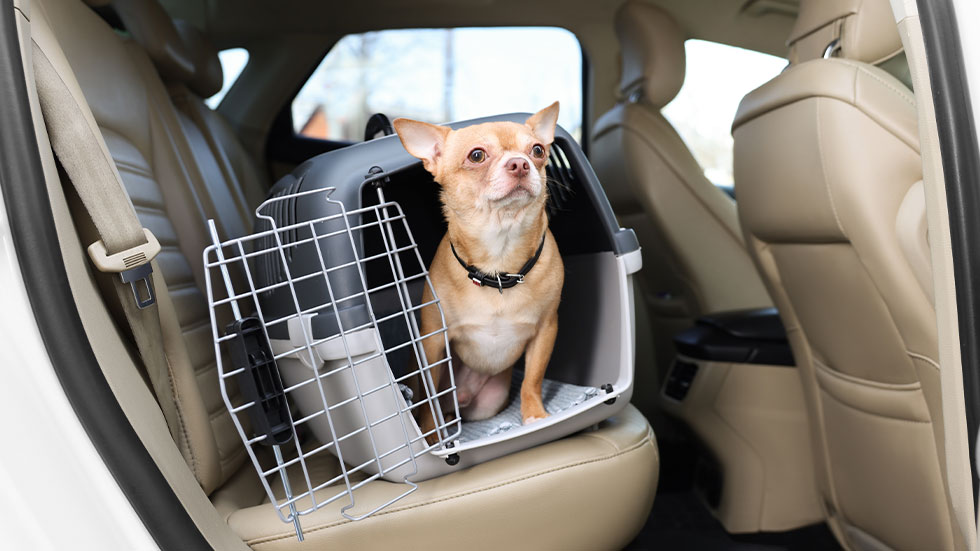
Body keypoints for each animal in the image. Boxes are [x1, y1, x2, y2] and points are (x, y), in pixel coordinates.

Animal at [396, 101, 568, 442]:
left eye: (538, 150)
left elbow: (533, 378)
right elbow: (430, 395)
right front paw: (432, 434)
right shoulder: (433, 341)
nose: (520, 163)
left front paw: (534, 415)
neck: (499, 262)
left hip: (490, 401)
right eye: (476, 156)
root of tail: (462, 399)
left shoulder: (546, 330)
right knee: (434, 400)